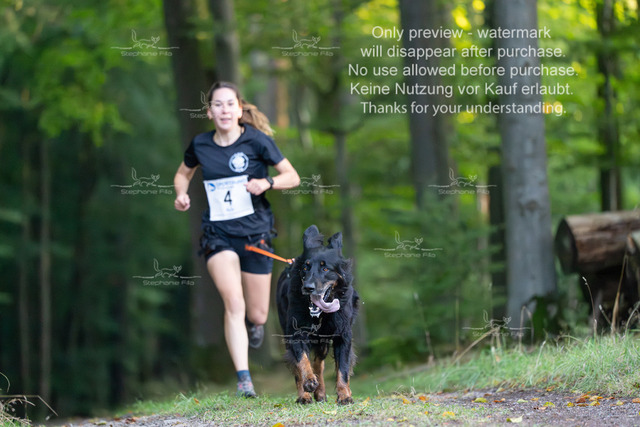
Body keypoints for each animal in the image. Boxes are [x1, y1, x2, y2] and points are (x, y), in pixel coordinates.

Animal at [276, 225, 359, 405]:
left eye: (325, 268)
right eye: (305, 268)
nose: (308, 287)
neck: (320, 314)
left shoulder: (343, 335)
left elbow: (342, 368)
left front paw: (345, 395)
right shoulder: (296, 332)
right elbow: (302, 360)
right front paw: (308, 381)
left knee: (319, 362)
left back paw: (320, 393)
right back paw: (305, 395)